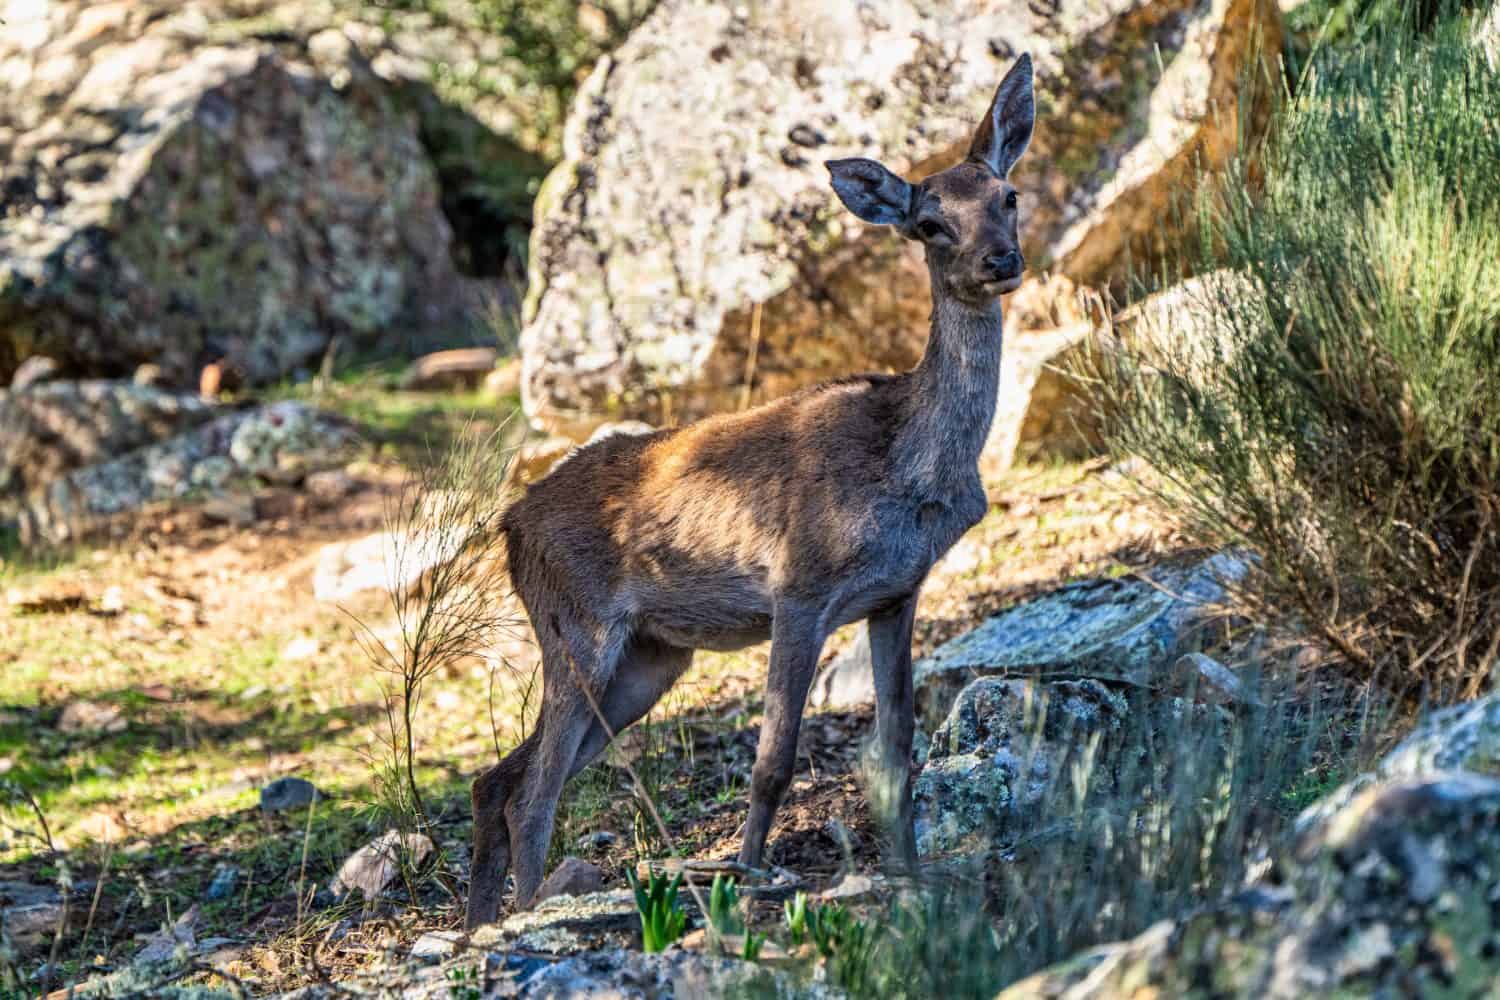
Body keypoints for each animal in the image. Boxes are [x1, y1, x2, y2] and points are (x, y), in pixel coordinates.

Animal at [466, 53, 1035, 928]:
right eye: (930, 225)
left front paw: (908, 875)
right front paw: (747, 871)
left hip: (649, 657)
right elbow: (773, 758)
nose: (999, 261)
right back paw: (528, 914)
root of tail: (508, 526)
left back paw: (480, 922)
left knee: (496, 778)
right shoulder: (799, 586)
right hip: (578, 630)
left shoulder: (896, 594)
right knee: (533, 793)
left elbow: (898, 750)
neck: (911, 471)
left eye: (1008, 196)